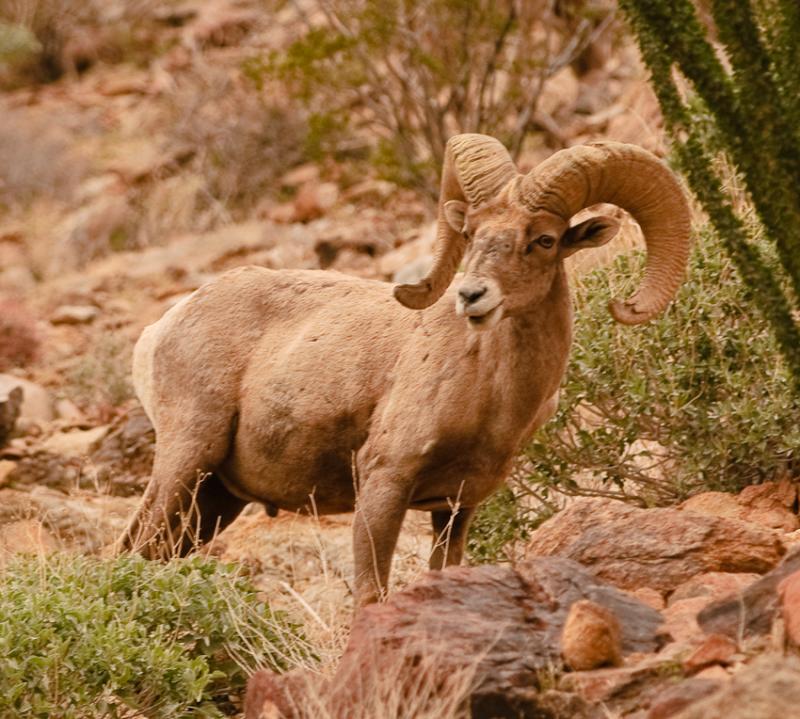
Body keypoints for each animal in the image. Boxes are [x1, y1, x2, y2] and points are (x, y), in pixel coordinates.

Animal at [118, 134, 691, 608]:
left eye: (544, 239)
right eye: (472, 233)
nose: (471, 295)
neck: (489, 397)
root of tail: (163, 327)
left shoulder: (456, 511)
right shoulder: (384, 485)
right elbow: (372, 595)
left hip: (214, 500)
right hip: (187, 459)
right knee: (130, 548)